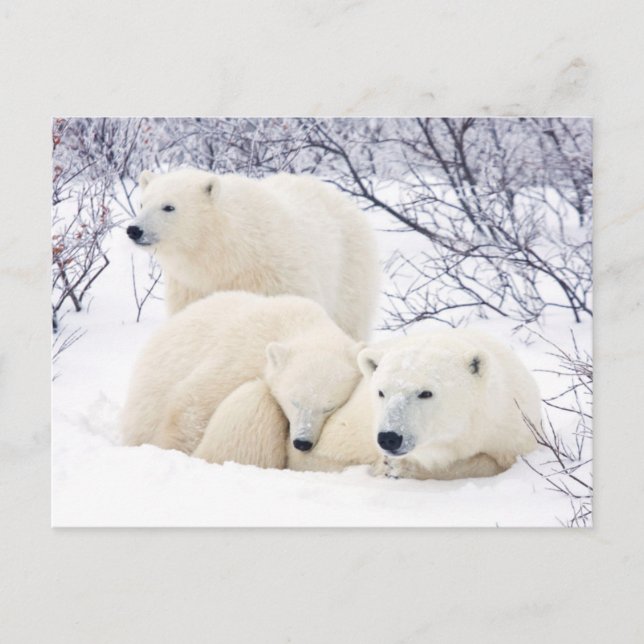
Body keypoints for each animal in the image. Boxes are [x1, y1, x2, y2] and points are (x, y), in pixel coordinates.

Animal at [126, 167, 380, 340]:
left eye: (169, 206)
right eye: (142, 203)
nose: (134, 230)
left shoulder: (275, 277)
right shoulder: (191, 287)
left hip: (349, 270)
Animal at [288, 329, 540, 479]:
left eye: (425, 393)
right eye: (381, 392)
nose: (389, 437)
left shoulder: (511, 426)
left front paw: (400, 468)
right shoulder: (357, 425)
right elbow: (319, 458)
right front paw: (388, 466)